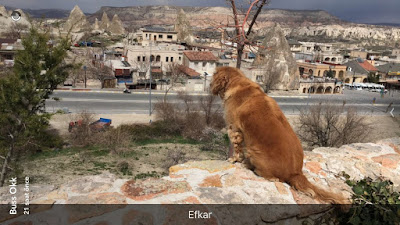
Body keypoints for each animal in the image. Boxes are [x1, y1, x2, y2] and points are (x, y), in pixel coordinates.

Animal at [212, 66, 346, 205]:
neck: (238, 83)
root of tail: (296, 173)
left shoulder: (234, 129)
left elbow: (237, 149)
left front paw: (234, 159)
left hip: (253, 151)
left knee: (275, 178)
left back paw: (251, 167)